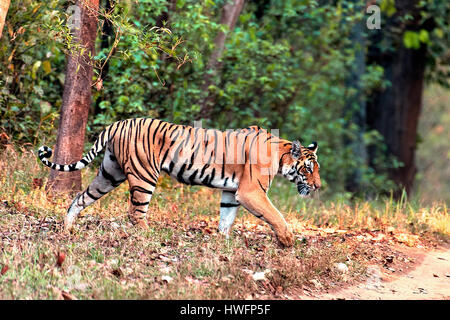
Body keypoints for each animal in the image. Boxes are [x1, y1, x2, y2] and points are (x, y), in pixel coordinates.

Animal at [38, 119, 320, 246]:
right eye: (308, 169)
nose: (318, 187)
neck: (281, 154)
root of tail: (119, 123)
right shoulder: (252, 192)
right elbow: (275, 215)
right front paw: (288, 240)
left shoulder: (232, 192)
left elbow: (226, 218)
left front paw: (222, 242)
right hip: (144, 175)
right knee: (135, 213)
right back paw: (149, 236)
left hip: (110, 173)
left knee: (80, 198)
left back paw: (67, 229)